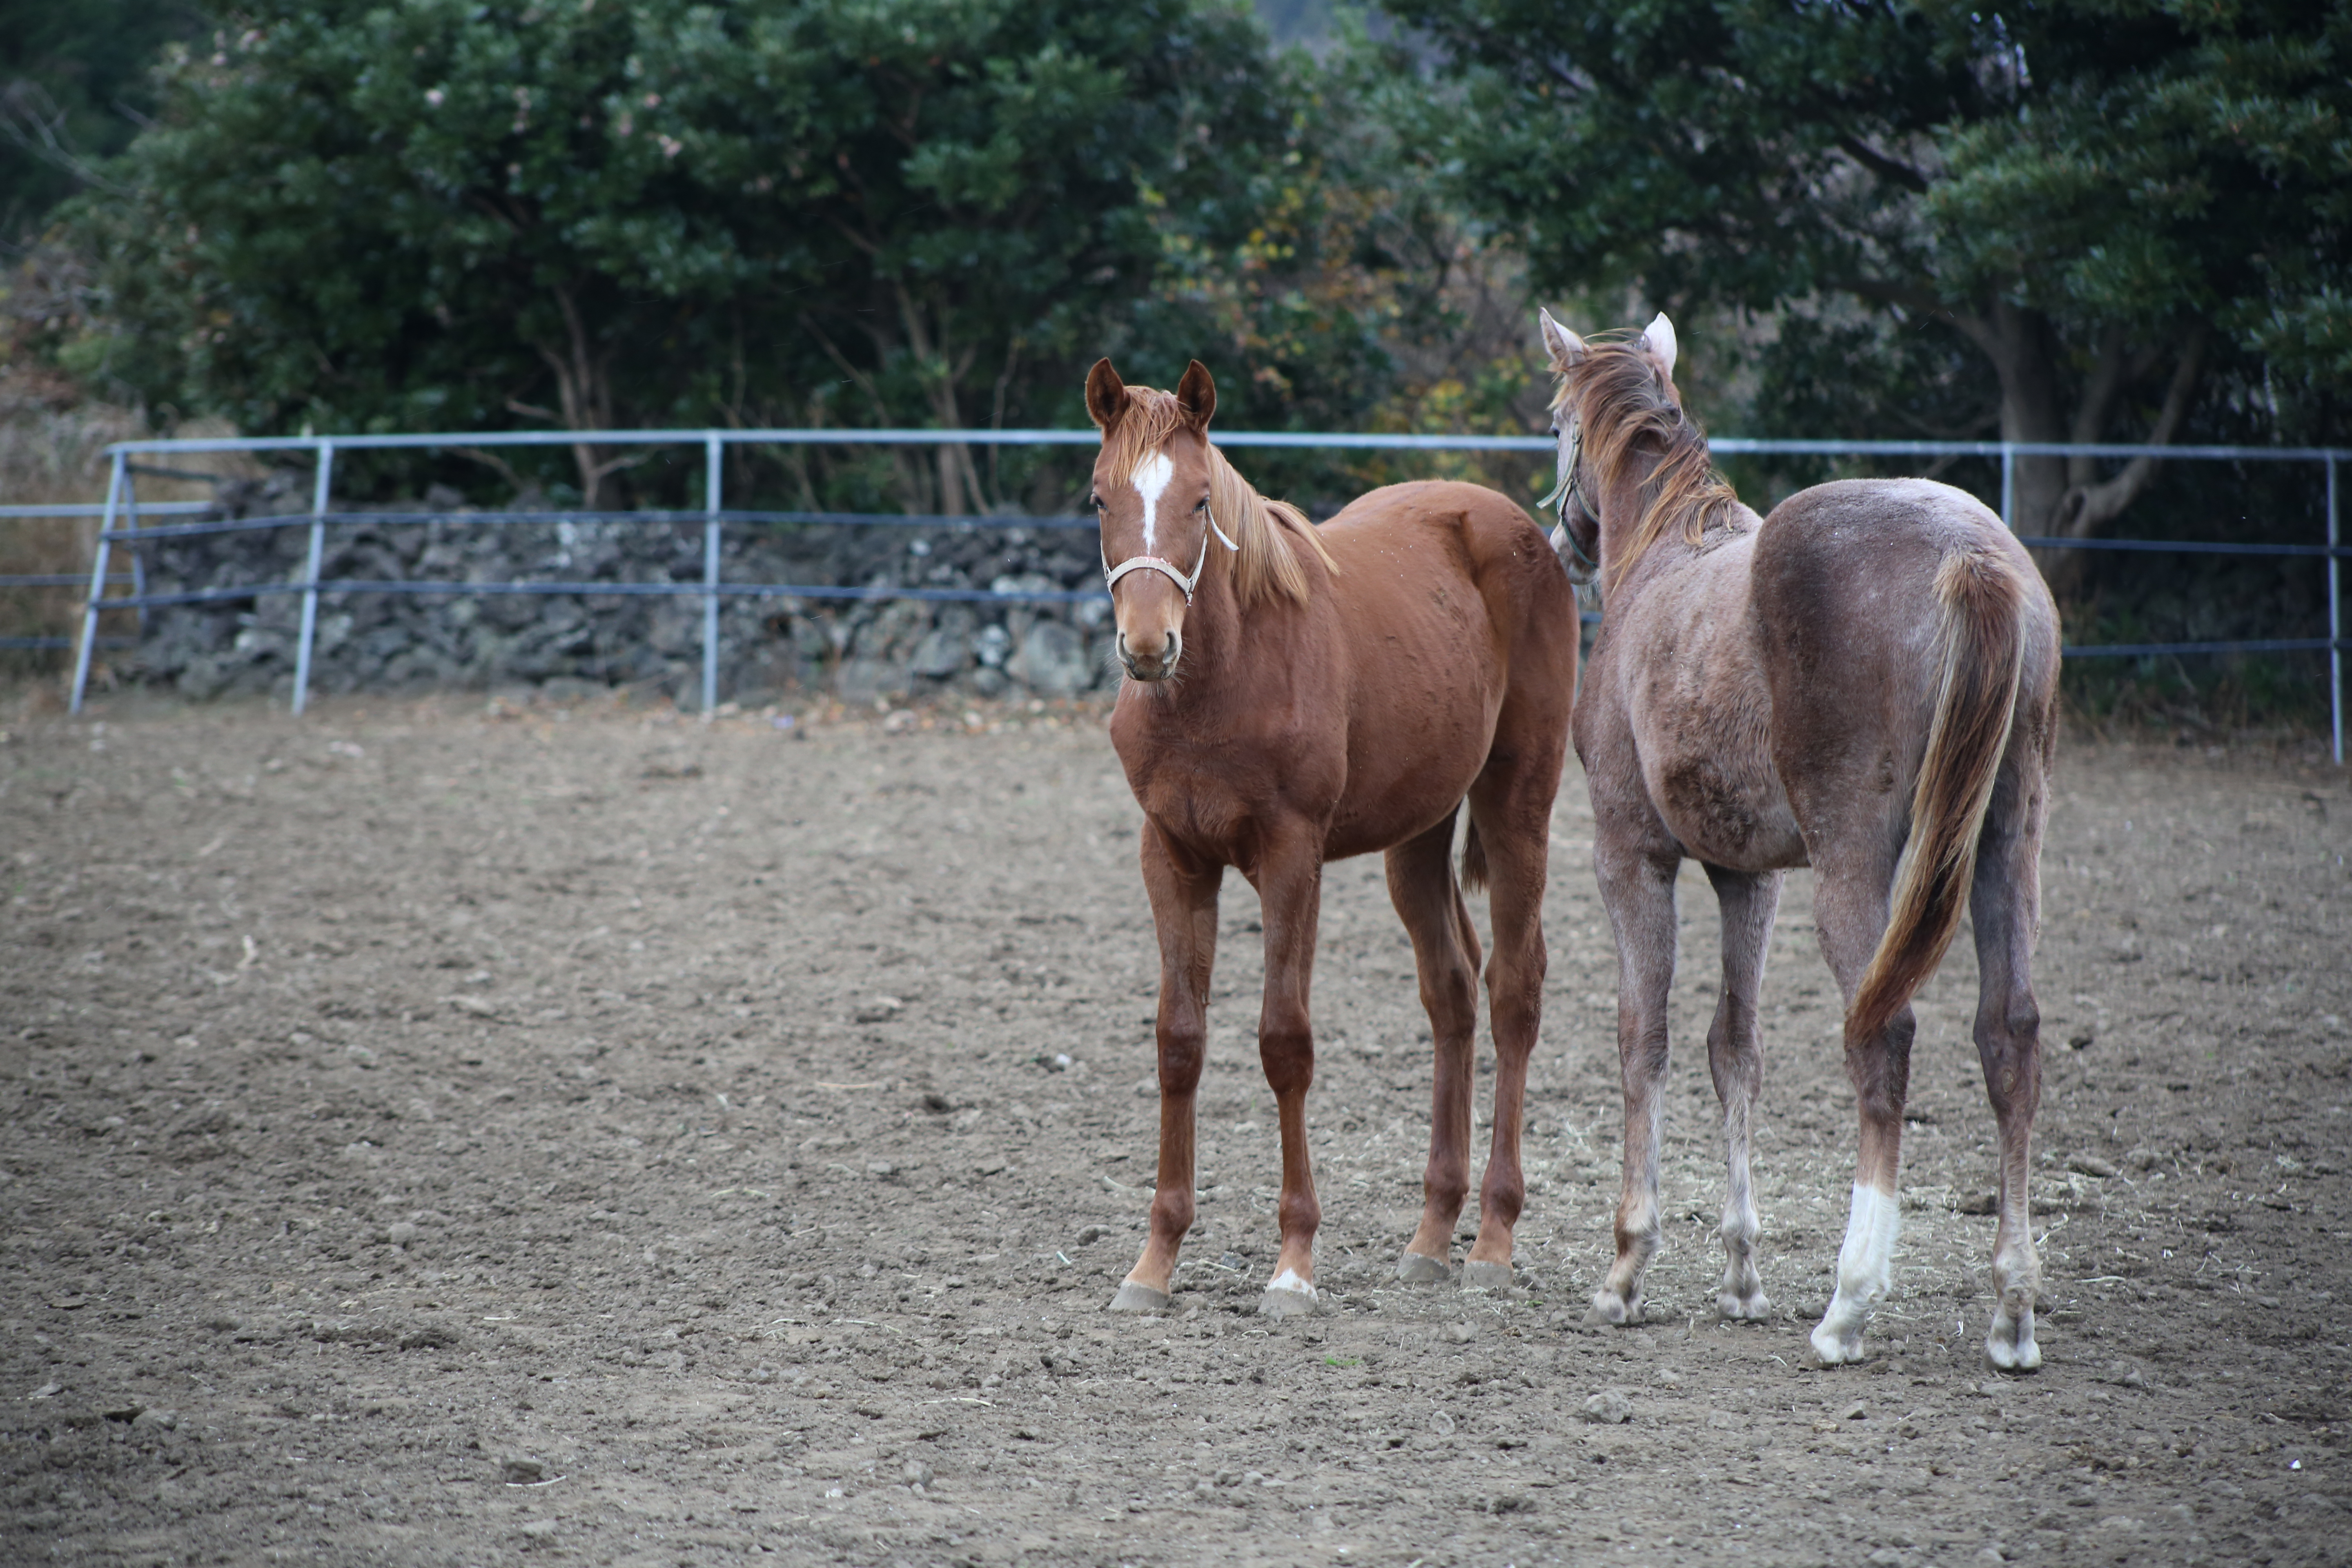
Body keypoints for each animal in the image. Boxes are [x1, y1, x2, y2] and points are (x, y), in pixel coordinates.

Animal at [1087, 362, 1580, 1316]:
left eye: (1201, 501)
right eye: (1099, 498)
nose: (1148, 646)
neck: (1224, 677)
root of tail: (1517, 529)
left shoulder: (1292, 856)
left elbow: (1285, 1042)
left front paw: (1293, 1263)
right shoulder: (1171, 856)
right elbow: (1178, 1041)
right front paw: (1154, 1262)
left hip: (1518, 803)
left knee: (1514, 990)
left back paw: (1493, 1240)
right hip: (1417, 835)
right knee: (1452, 992)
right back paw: (1431, 1237)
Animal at [1543, 312, 2060, 1363]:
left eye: (1553, 426)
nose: (1558, 538)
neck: (1662, 560)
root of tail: (1972, 556)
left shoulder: (1630, 857)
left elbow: (1643, 1037)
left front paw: (1626, 1266)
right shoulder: (1749, 877)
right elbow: (1733, 1046)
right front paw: (1740, 1273)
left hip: (1855, 870)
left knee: (1882, 1038)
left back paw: (1849, 1301)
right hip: (2002, 846)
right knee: (2009, 1038)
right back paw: (2011, 1308)